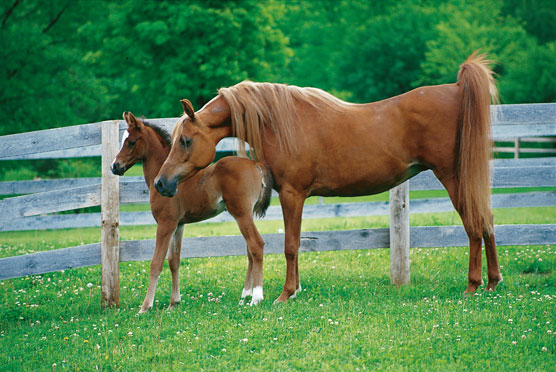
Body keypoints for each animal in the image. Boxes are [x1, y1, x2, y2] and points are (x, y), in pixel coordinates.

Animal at [111, 111, 272, 310]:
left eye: (131, 141)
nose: (115, 166)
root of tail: (255, 164)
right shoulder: (178, 225)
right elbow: (174, 261)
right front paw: (174, 303)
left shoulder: (165, 224)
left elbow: (156, 263)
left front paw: (145, 307)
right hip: (246, 215)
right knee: (250, 249)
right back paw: (245, 294)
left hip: (241, 214)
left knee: (256, 245)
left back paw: (256, 297)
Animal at [154, 51, 502, 302]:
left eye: (186, 140)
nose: (161, 183)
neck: (279, 123)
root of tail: (456, 89)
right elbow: (293, 244)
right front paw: (293, 290)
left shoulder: (292, 194)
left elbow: (290, 245)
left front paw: (285, 294)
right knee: (486, 221)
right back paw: (492, 283)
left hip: (454, 178)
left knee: (474, 224)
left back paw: (473, 286)